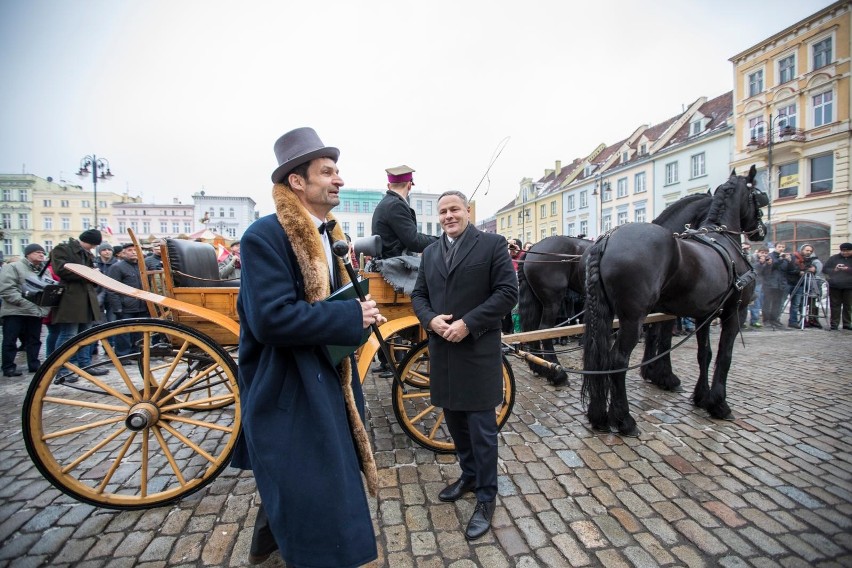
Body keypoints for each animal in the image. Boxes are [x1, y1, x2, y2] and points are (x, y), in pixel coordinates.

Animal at [520, 193, 712, 388]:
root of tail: (534, 248)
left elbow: (652, 335)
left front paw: (650, 370)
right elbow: (662, 336)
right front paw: (664, 375)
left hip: (540, 300)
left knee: (532, 330)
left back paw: (539, 367)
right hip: (553, 300)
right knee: (545, 330)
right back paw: (556, 372)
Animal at [584, 166, 764, 438]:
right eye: (760, 196)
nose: (761, 231)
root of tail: (608, 237)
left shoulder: (702, 314)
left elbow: (704, 353)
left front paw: (700, 396)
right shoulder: (733, 312)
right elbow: (723, 355)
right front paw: (718, 403)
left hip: (607, 314)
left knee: (601, 357)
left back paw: (600, 417)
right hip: (632, 318)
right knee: (618, 360)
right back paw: (625, 419)